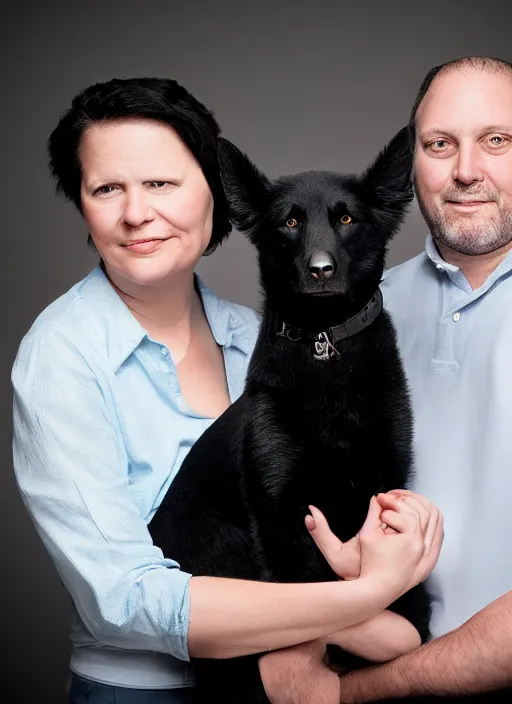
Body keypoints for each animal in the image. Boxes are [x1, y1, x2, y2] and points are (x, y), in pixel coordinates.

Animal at [149, 128, 432, 704]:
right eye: (290, 222)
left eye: (346, 218)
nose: (321, 270)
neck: (325, 351)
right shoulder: (280, 515)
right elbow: (319, 594)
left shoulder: (387, 483)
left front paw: (410, 621)